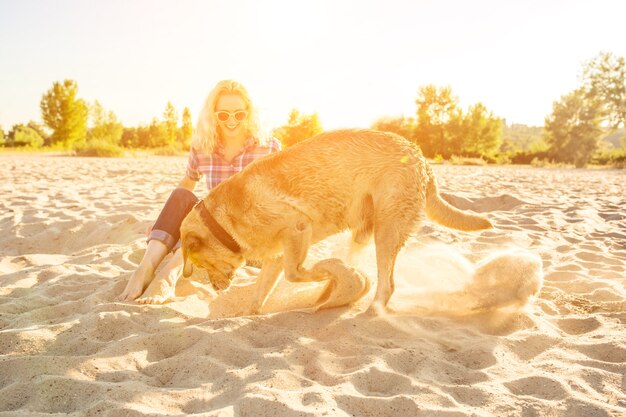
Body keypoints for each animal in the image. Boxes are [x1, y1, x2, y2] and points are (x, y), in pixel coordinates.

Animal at [180, 128, 492, 314]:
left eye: (201, 265)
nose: (215, 289)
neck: (223, 223)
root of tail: (423, 160)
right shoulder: (277, 255)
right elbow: (260, 293)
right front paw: (245, 314)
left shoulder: (297, 228)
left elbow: (297, 272)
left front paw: (329, 273)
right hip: (364, 230)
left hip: (387, 230)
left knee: (387, 284)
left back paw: (368, 307)